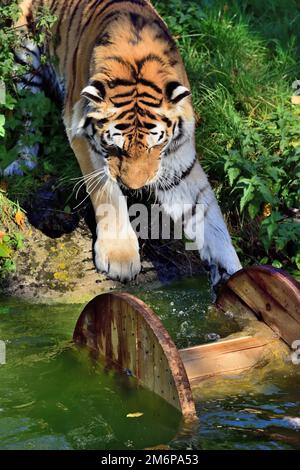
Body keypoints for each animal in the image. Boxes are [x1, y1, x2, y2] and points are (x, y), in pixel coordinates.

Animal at [5, 0, 241, 284]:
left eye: (155, 145)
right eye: (115, 147)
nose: (134, 187)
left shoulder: (177, 159)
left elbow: (207, 215)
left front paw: (233, 273)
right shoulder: (83, 135)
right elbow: (106, 193)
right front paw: (120, 257)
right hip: (24, 62)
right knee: (28, 118)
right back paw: (21, 162)